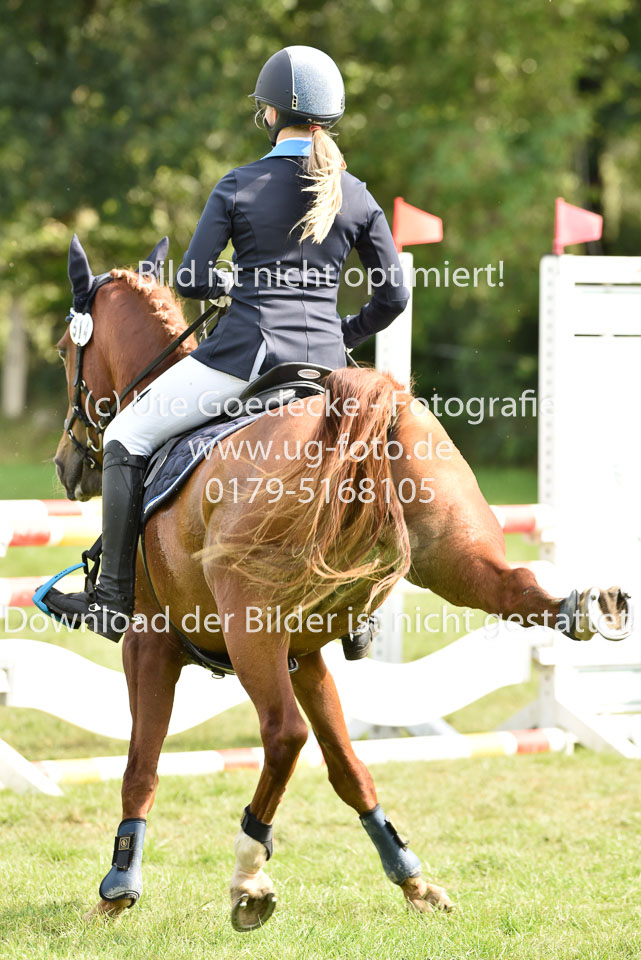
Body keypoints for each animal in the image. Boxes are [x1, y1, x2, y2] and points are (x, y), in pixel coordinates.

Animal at [52, 238, 630, 930]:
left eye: (63, 351)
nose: (66, 466)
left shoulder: (152, 642)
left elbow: (142, 763)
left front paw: (118, 885)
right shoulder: (304, 655)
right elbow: (349, 767)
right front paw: (411, 877)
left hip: (248, 625)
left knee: (282, 735)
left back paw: (249, 874)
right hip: (448, 556)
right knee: (511, 586)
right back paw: (592, 607)